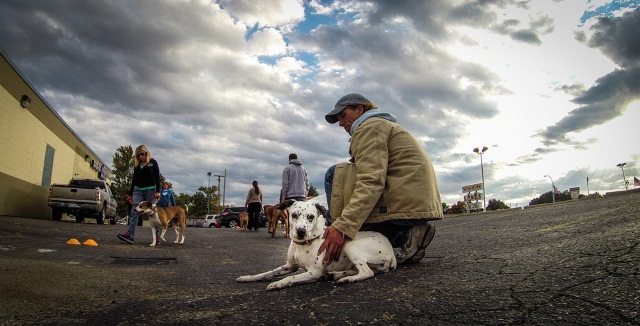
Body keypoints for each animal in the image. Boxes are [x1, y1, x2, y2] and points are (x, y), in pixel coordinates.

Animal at [235, 200, 396, 292]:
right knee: (360, 269)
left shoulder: (313, 272)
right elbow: (267, 273)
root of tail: (391, 251)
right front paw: (248, 277)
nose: (301, 231)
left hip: (351, 246)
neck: (302, 245)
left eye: (311, 217)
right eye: (294, 215)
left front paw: (278, 284)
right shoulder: (289, 266)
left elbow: (291, 278)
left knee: (367, 272)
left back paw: (346, 279)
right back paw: (335, 275)